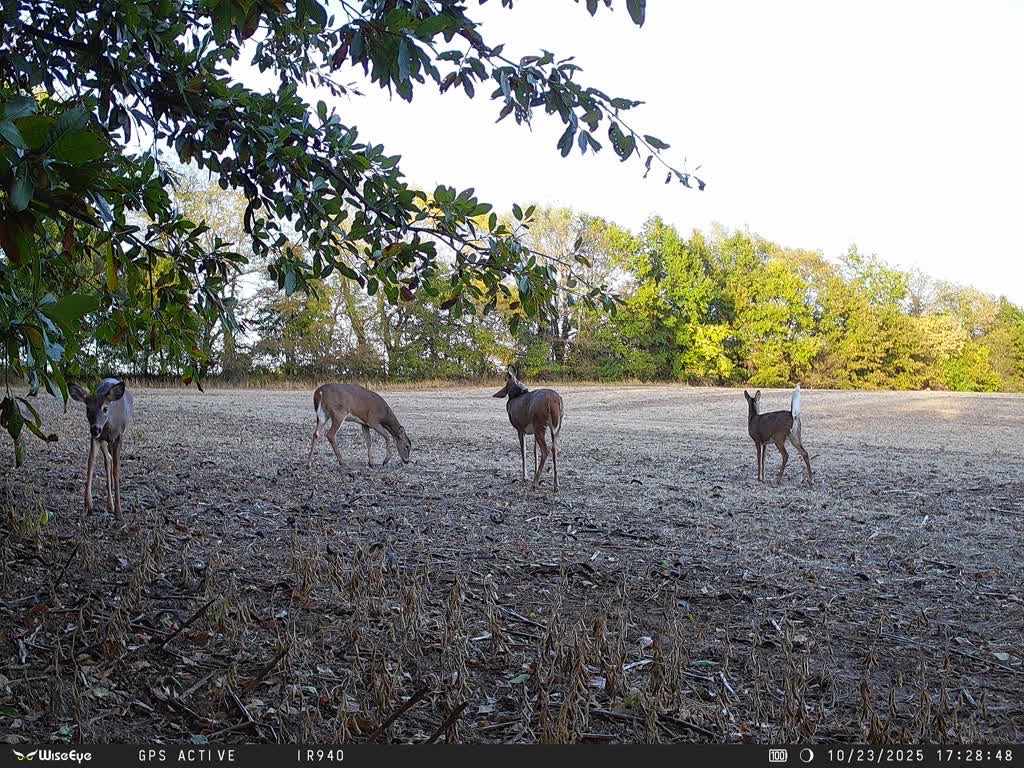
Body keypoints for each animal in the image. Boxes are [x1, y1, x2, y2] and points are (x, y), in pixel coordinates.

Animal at [69, 378, 133, 520]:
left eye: (105, 408)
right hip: (103, 441)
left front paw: (119, 512)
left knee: (110, 461)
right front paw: (88, 504)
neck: (108, 426)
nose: (95, 428)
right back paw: (109, 503)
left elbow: (116, 470)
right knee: (107, 460)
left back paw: (112, 503)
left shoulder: (118, 437)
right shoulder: (96, 438)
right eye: (88, 408)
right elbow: (90, 463)